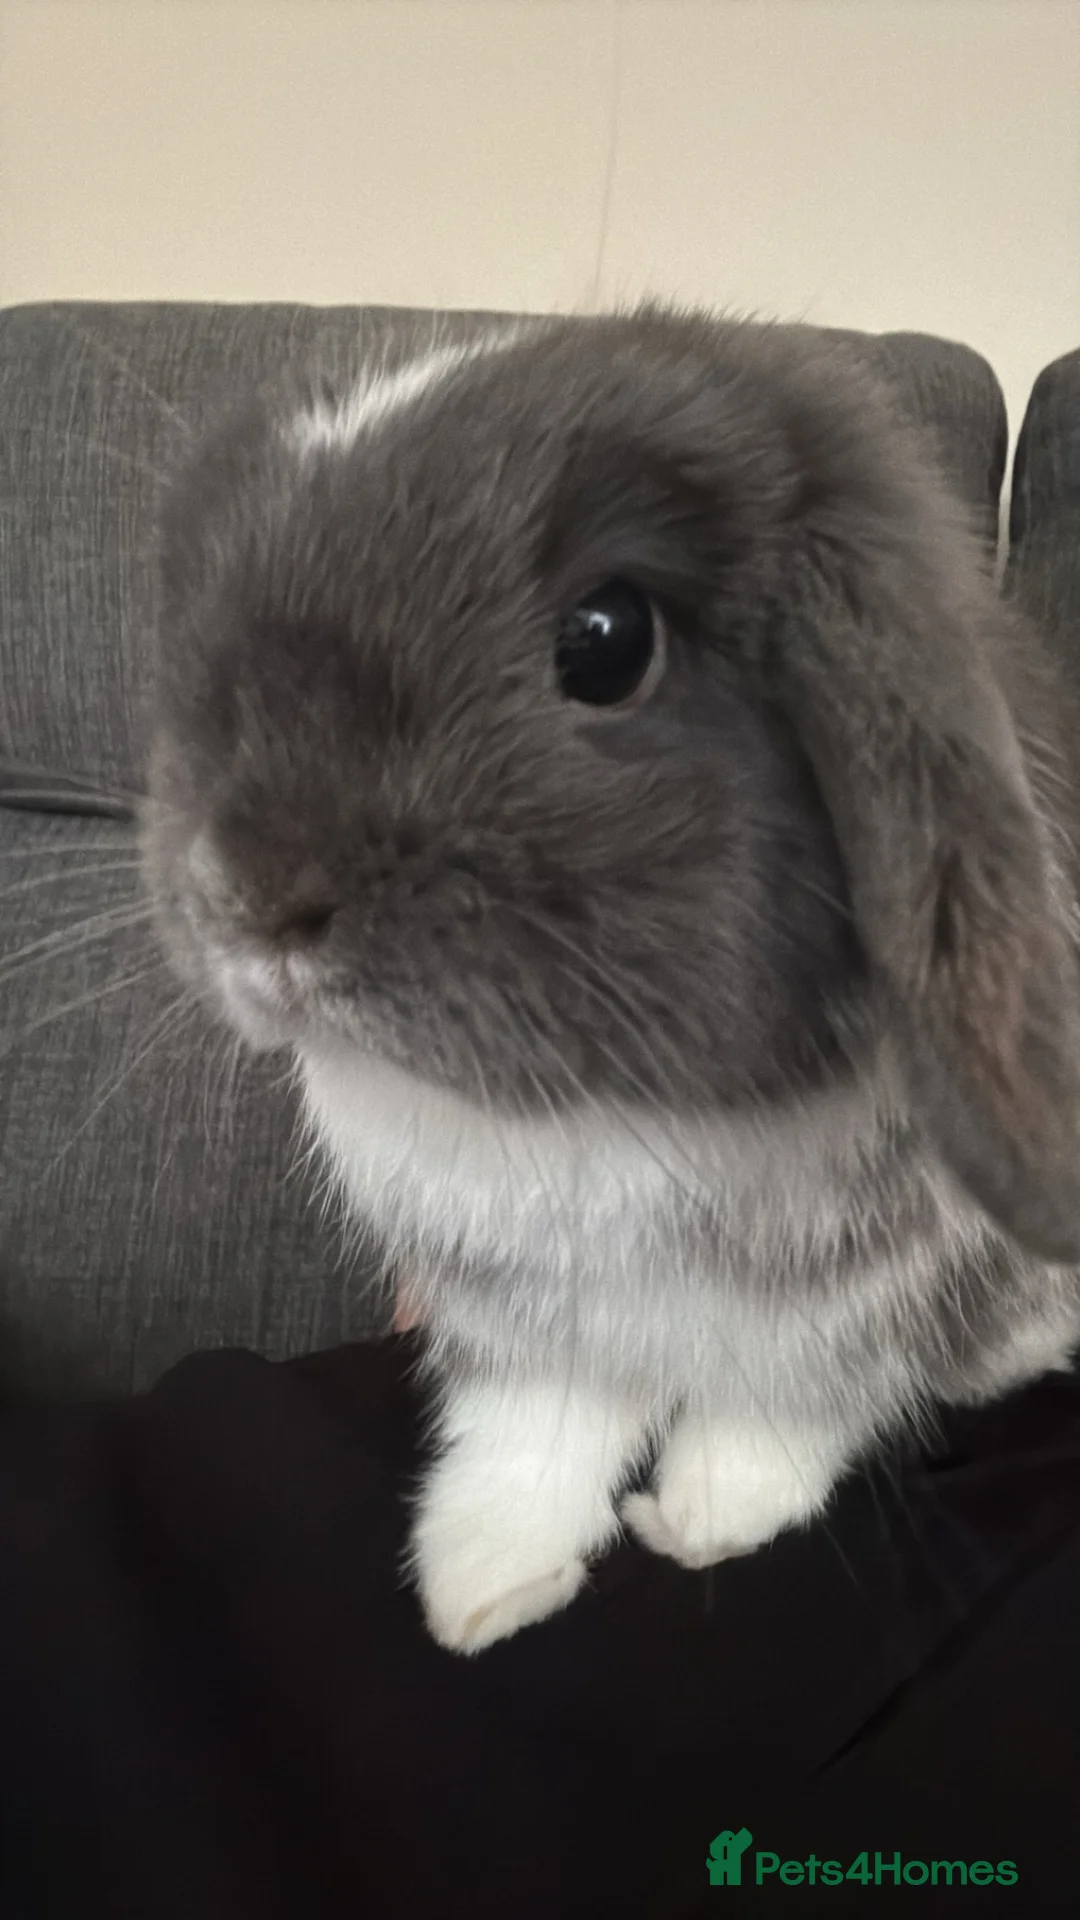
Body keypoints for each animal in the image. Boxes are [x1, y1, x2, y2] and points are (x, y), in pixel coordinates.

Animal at [141, 304, 1080, 1655]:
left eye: (606, 639)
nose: (247, 900)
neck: (602, 1117)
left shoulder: (845, 1312)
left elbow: (782, 1411)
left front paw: (706, 1521)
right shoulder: (524, 1320)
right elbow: (532, 1436)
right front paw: (482, 1582)